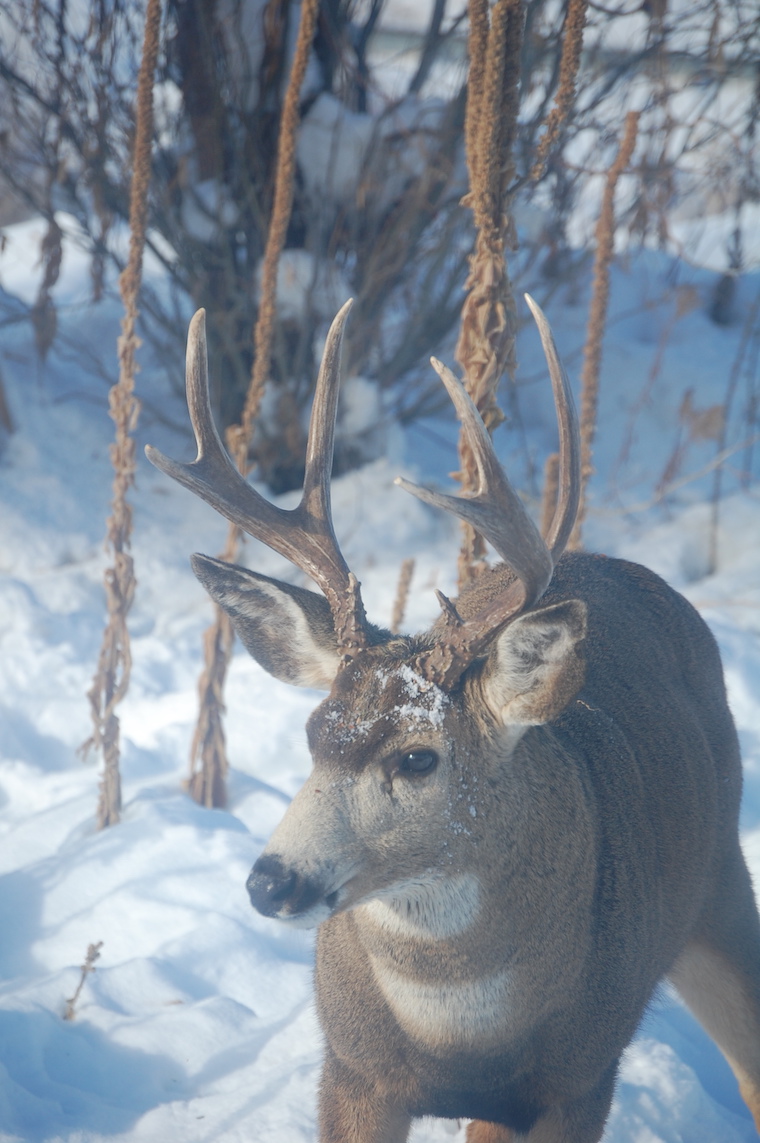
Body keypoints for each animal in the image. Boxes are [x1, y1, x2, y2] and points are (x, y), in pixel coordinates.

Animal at [146, 298, 760, 1143]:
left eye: (418, 757)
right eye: (312, 734)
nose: (271, 881)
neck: (460, 1033)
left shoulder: (575, 1082)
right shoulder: (353, 1070)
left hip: (724, 883)